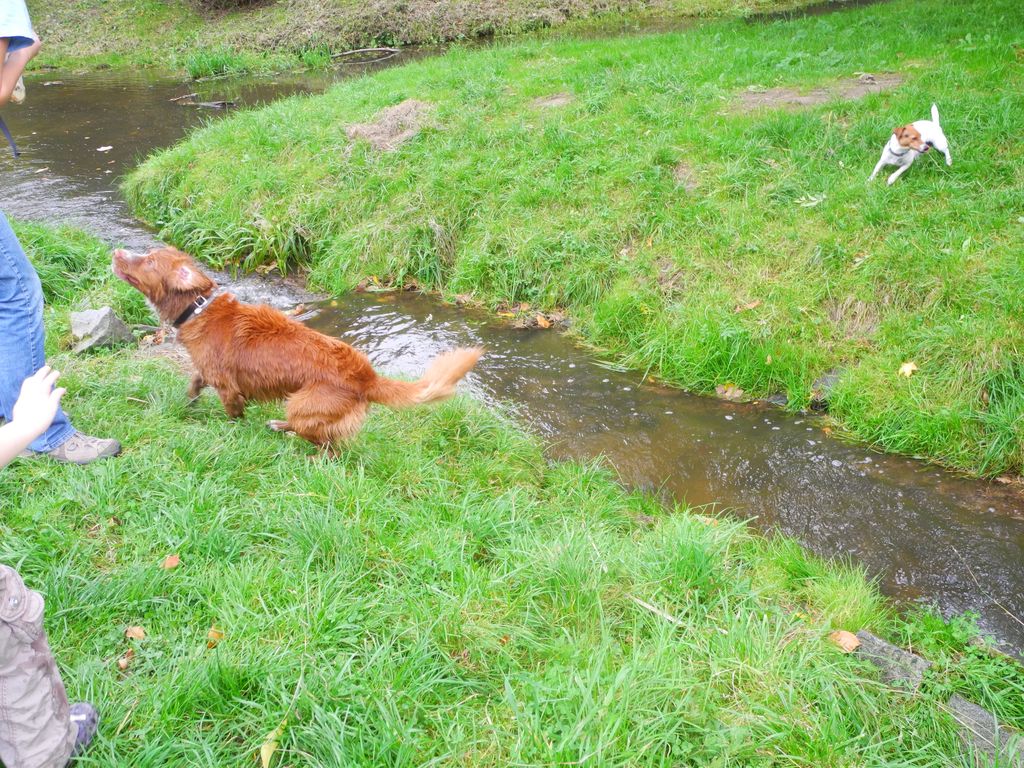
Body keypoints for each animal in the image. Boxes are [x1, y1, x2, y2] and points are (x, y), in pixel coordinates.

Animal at [114, 246, 481, 450]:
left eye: (149, 262)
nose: (116, 253)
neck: (198, 308)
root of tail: (368, 377)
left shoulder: (228, 387)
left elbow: (233, 413)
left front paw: (231, 430)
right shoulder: (207, 371)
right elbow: (193, 383)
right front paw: (186, 405)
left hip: (301, 403)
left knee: (324, 443)